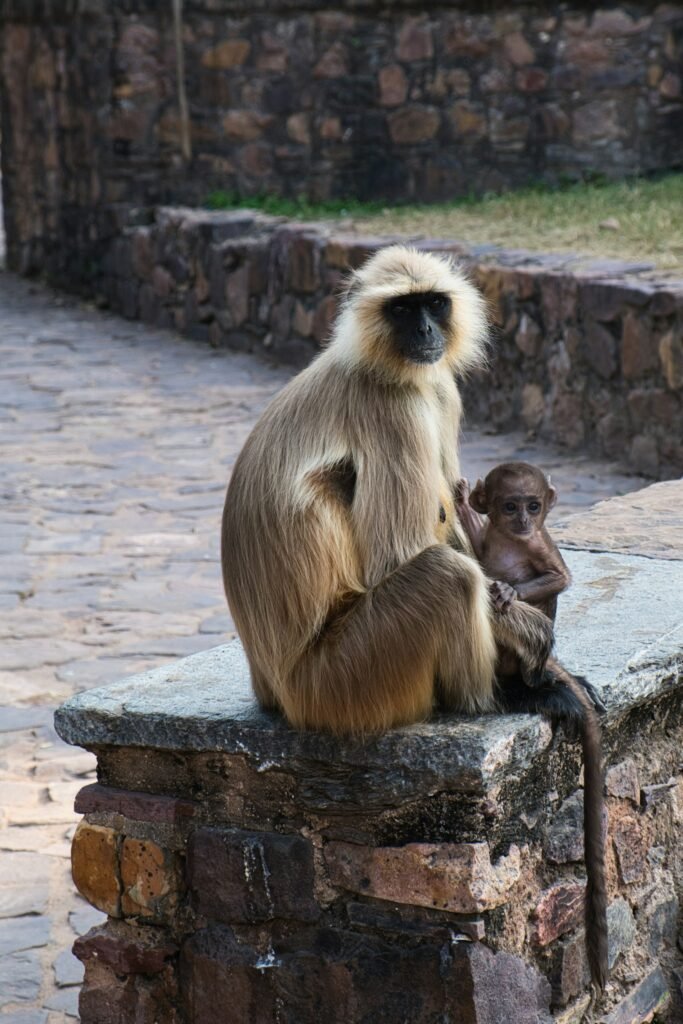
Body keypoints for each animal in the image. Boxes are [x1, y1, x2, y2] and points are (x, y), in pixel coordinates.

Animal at [455, 462, 608, 992]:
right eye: (509, 505)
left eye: (533, 505)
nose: (522, 518)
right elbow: (476, 545)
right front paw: (463, 503)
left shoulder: (539, 543)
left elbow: (556, 577)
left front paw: (507, 590)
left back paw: (535, 681)